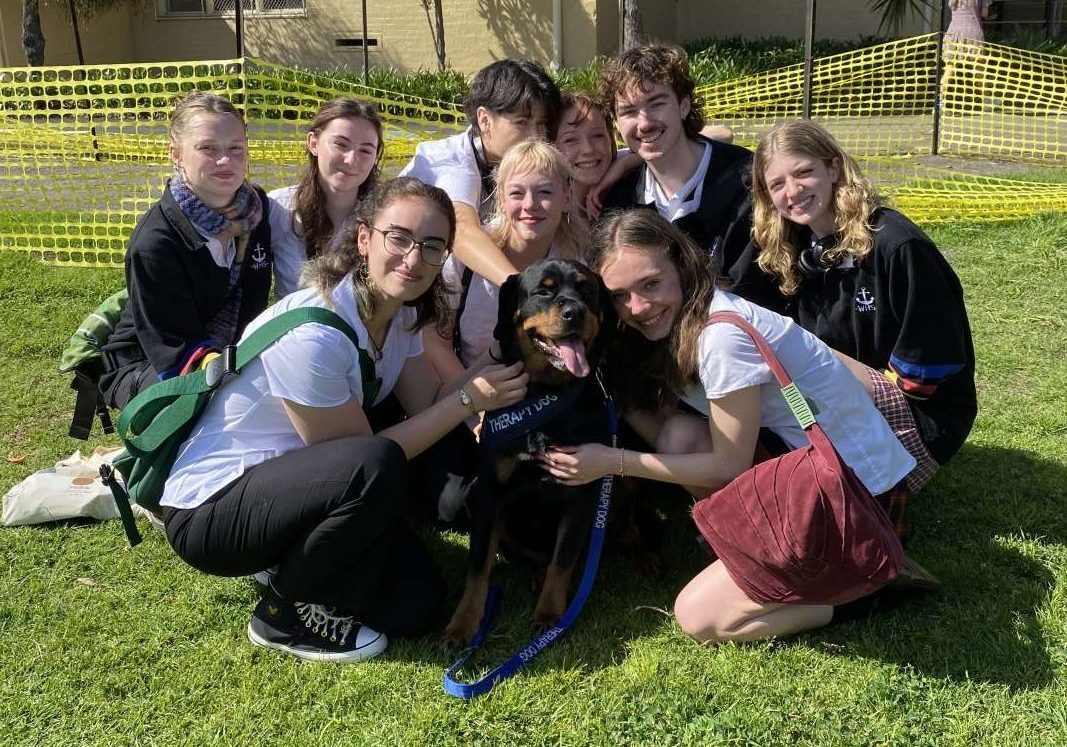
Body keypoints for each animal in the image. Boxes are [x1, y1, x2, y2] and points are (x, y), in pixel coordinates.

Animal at [441, 258, 623, 648]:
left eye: (586, 289)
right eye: (544, 290)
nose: (574, 312)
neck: (546, 394)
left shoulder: (581, 491)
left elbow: (564, 558)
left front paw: (551, 615)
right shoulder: (489, 491)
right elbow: (478, 565)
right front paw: (463, 624)